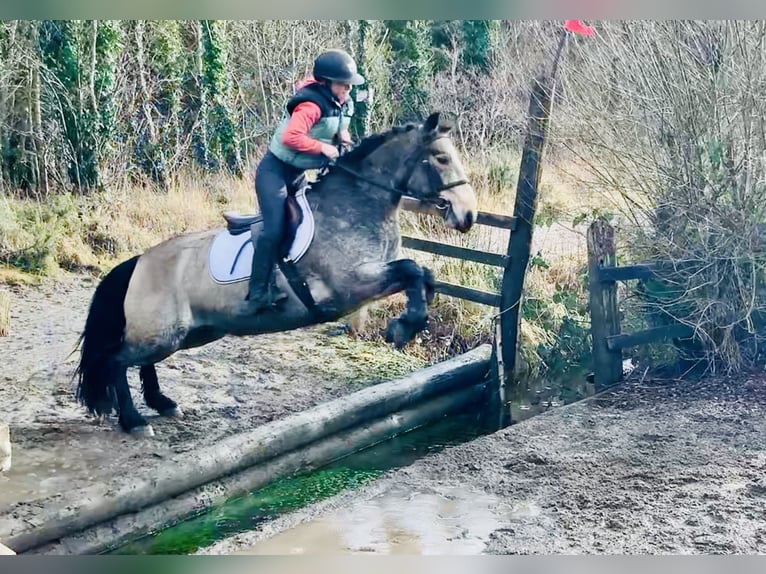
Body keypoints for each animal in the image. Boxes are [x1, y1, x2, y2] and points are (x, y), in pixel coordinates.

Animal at [73, 112, 478, 437]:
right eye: (441, 158)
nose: (468, 215)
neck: (357, 204)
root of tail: (138, 262)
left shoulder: (373, 279)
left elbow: (423, 274)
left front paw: (408, 324)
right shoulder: (353, 284)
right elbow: (411, 270)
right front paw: (402, 328)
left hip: (191, 333)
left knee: (141, 361)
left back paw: (162, 402)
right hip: (164, 334)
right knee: (116, 361)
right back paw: (134, 421)